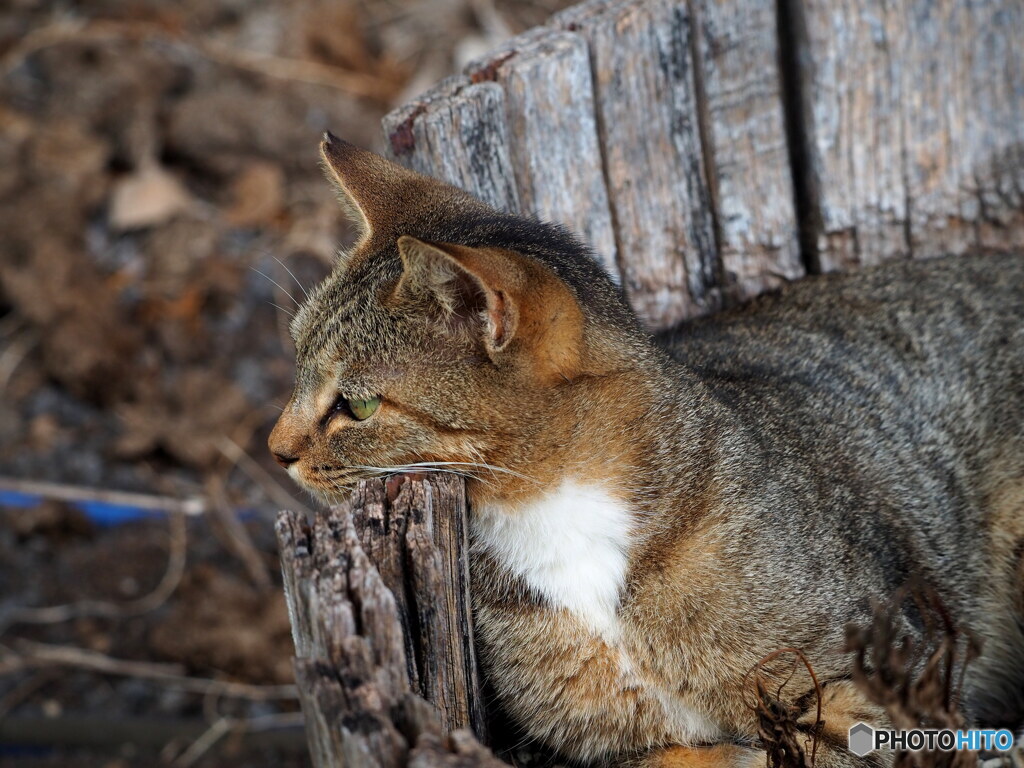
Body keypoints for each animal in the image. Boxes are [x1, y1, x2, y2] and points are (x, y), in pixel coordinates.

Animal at [270, 137, 1024, 768]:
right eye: (297, 359)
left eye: (358, 405)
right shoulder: (604, 748)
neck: (562, 524)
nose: (276, 450)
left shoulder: (900, 678)